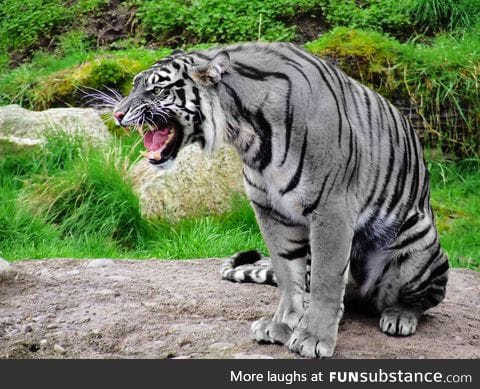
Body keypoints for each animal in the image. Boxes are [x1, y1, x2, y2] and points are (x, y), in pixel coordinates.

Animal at [110, 43, 448, 358]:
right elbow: (287, 272)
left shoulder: (332, 208)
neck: (248, 135)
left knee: (427, 298)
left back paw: (400, 316)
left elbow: (327, 278)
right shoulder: (271, 210)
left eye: (157, 89)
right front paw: (284, 324)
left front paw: (314, 338)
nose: (117, 114)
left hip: (419, 237)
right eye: (135, 85)